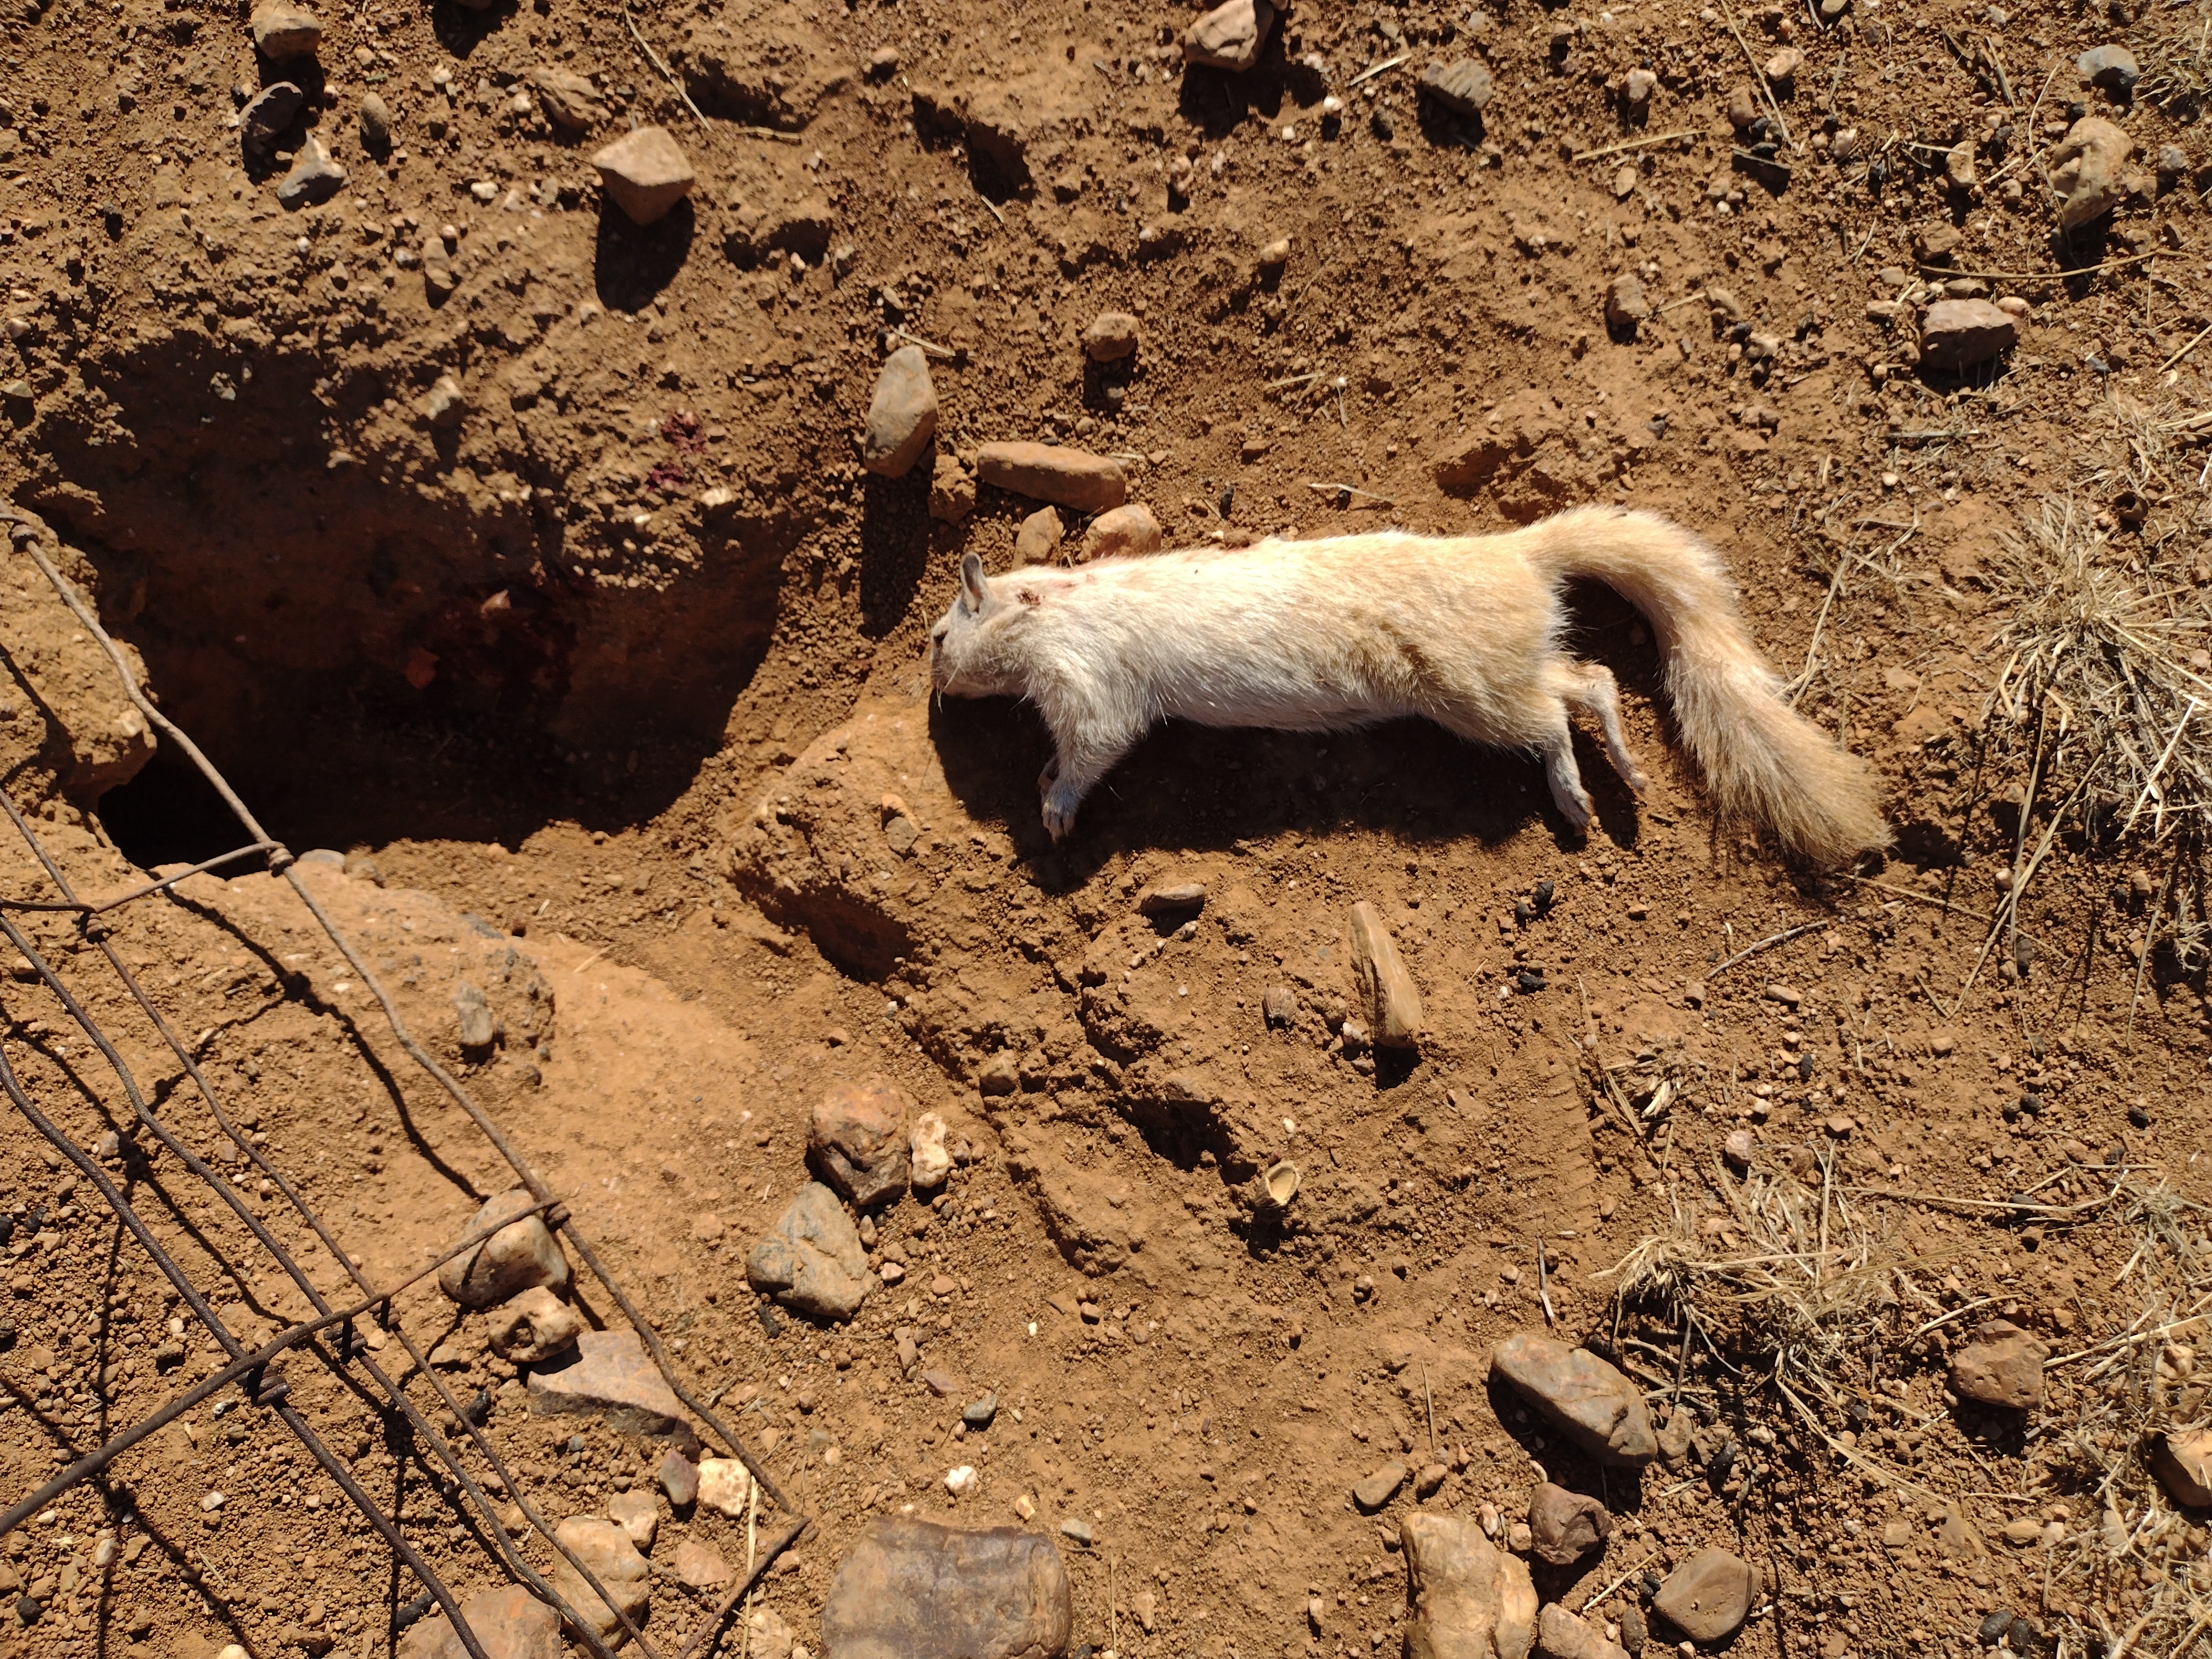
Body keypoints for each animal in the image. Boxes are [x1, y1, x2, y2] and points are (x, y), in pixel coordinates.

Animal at [925, 504, 1893, 872]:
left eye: (937, 638)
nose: (931, 690)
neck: (1053, 605)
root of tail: (1517, 551)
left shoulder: (1089, 683)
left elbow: (1091, 751)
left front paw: (1053, 805)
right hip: (1500, 674)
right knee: (1592, 679)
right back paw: (1624, 773)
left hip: (1475, 694)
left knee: (1563, 707)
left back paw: (1579, 797)